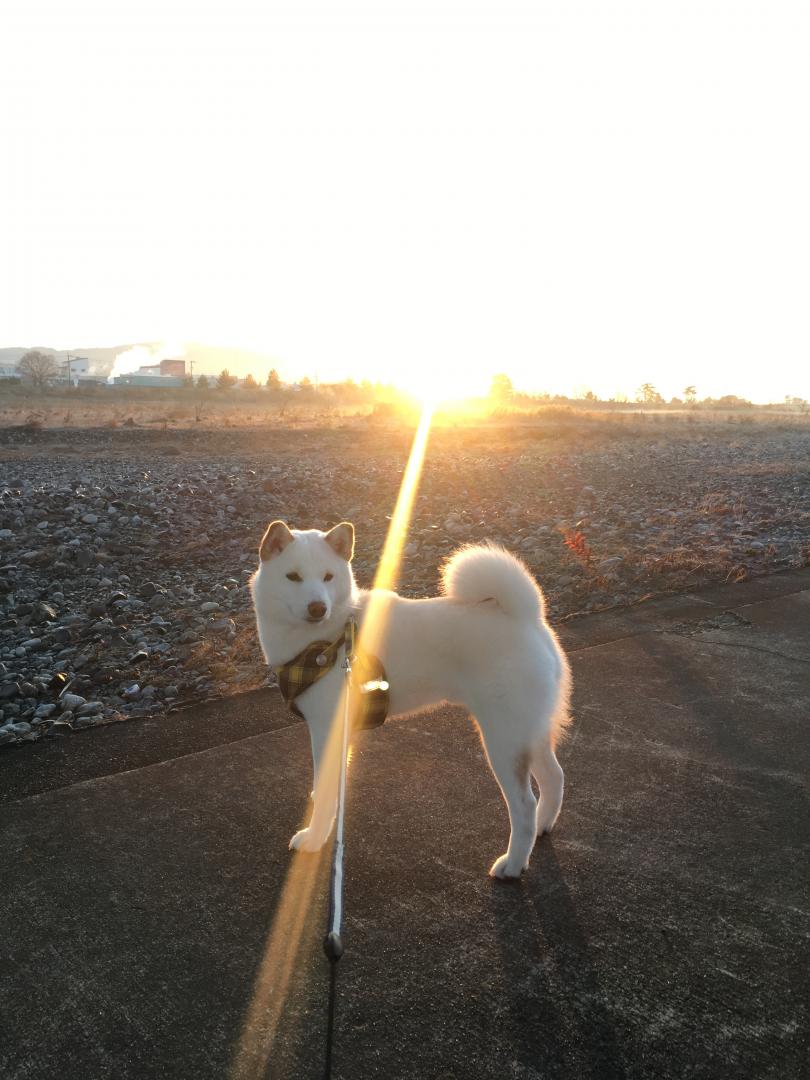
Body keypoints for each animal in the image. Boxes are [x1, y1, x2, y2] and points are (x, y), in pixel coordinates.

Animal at [250, 518, 574, 881]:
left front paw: (314, 838)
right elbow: (326, 791)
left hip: (503, 739)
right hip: (530, 732)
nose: (318, 607)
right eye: (292, 576)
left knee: (524, 805)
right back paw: (543, 826)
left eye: (328, 577)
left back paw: (514, 863)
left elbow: (323, 793)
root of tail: (527, 617)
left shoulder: (327, 729)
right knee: (555, 777)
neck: (325, 640)